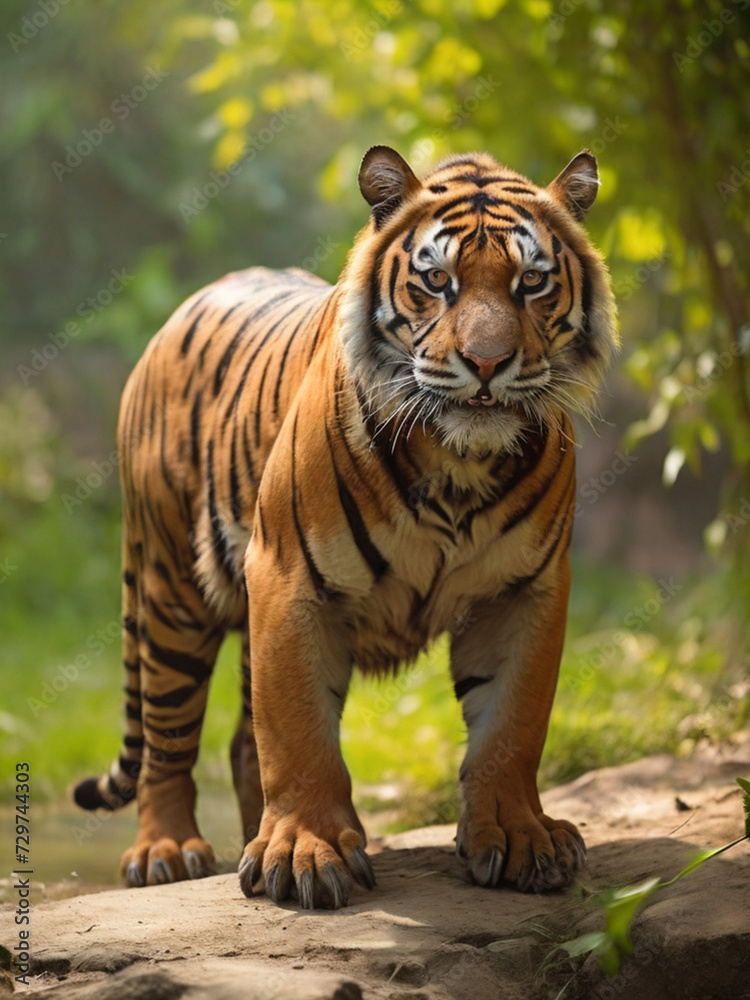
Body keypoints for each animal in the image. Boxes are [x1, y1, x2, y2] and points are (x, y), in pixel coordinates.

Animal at [74, 144, 618, 909]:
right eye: (438, 281)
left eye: (532, 282)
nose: (487, 363)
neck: (458, 463)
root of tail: (179, 312)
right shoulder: (287, 577)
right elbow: (299, 732)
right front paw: (306, 852)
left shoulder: (526, 590)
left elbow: (511, 725)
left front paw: (518, 838)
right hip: (171, 589)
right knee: (166, 737)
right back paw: (167, 851)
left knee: (240, 742)